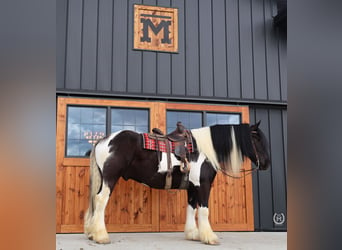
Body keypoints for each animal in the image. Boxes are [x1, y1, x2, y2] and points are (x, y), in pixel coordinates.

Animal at [83, 120, 270, 245]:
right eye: (257, 139)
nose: (266, 163)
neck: (204, 150)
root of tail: (104, 140)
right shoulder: (203, 185)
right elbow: (204, 210)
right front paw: (210, 237)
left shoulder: (192, 188)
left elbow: (191, 208)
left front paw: (193, 234)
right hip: (110, 178)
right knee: (101, 200)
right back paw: (101, 236)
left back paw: (92, 233)